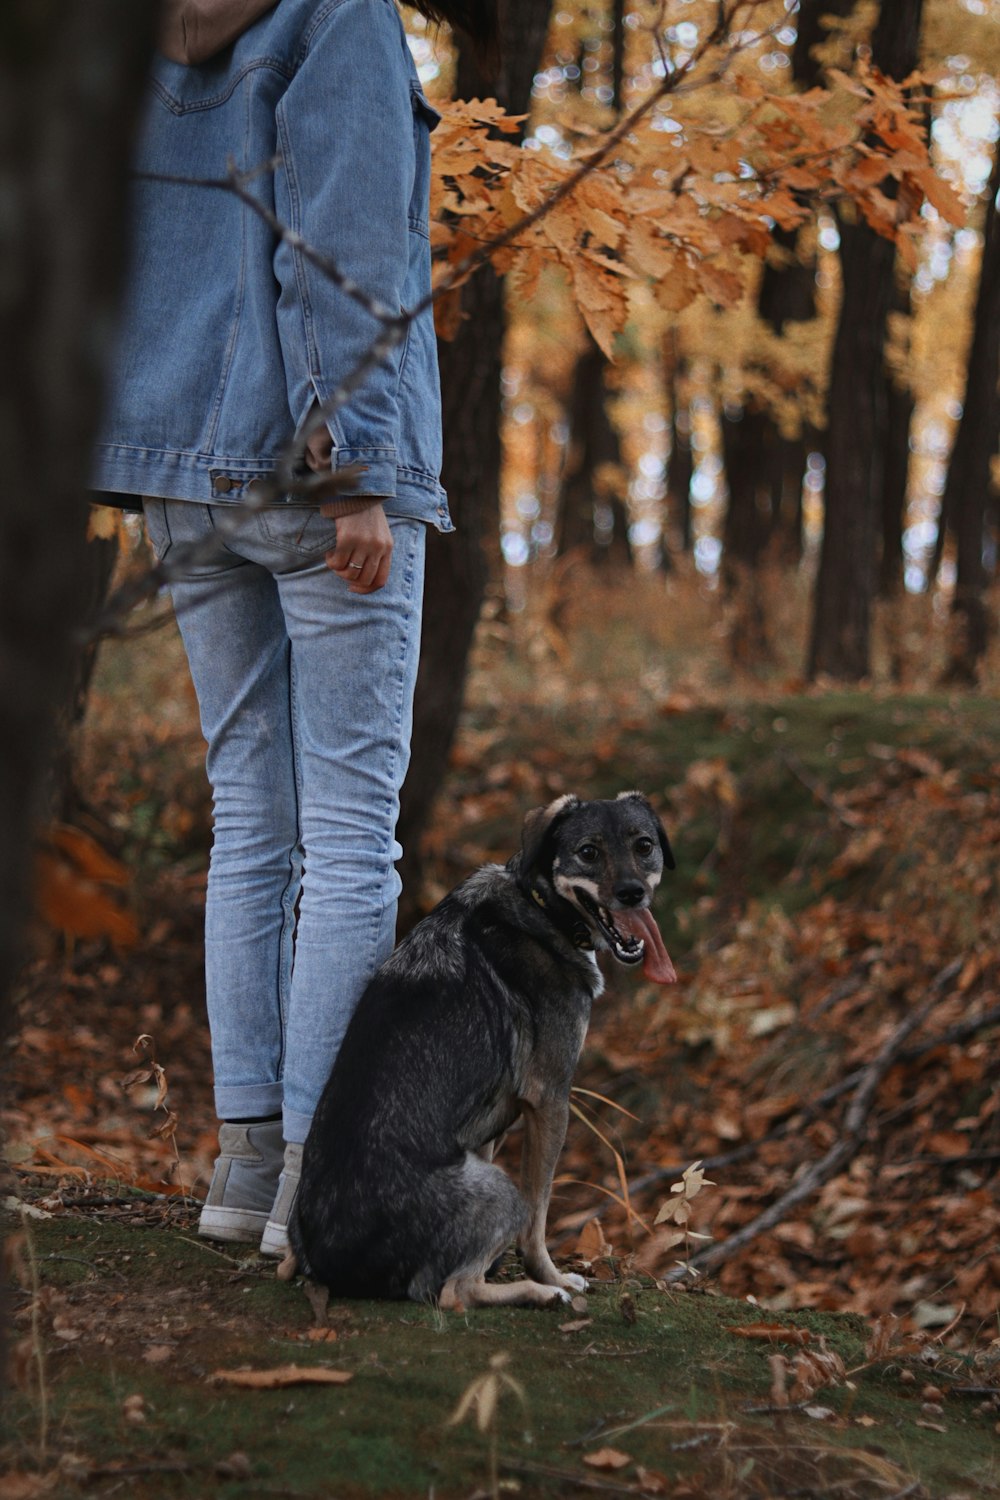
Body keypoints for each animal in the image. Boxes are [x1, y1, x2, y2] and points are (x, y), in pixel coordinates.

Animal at [290, 792, 680, 1308]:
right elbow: (537, 1217)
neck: (539, 906)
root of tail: (334, 1264)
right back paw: (541, 1293)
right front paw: (554, 1277)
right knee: (455, 1293)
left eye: (644, 845)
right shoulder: (550, 1100)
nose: (633, 894)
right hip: (498, 1188)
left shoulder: (493, 1127)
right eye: (588, 852)